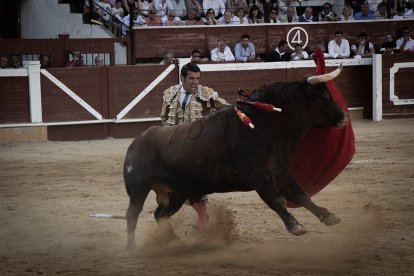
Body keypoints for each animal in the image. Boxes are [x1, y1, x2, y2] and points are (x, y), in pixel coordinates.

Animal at [122, 66, 346, 248]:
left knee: (160, 215)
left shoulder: (280, 171)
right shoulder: (258, 174)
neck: (267, 122)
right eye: (326, 97)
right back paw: (132, 247)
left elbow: (300, 194)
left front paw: (328, 216)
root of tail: (136, 142)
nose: (344, 116)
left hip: (176, 193)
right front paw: (295, 226)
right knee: (133, 214)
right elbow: (277, 199)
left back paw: (176, 242)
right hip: (139, 187)